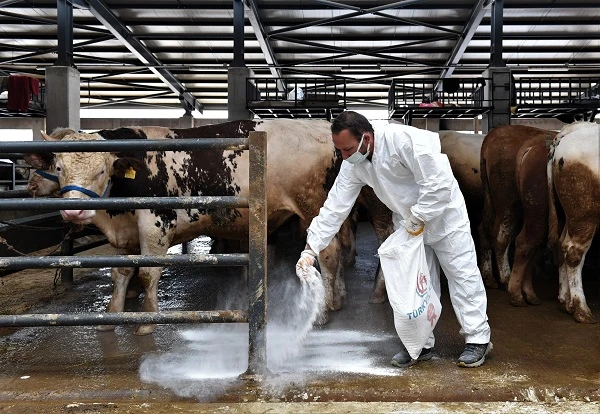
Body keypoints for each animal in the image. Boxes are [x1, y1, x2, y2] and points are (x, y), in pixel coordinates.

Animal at [29, 119, 352, 334]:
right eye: (59, 167)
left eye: (100, 170)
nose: (74, 209)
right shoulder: (127, 233)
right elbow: (120, 273)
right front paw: (112, 316)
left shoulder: (155, 225)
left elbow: (147, 273)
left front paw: (147, 322)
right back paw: (337, 297)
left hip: (312, 206)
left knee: (328, 253)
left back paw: (323, 311)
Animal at [478, 124, 556, 306]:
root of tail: (492, 136)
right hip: (508, 201)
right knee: (501, 236)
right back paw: (507, 279)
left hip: (491, 199)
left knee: (484, 228)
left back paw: (489, 277)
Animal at [548, 121, 600, 322]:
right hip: (583, 213)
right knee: (573, 252)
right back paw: (581, 308)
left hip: (571, 216)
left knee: (563, 245)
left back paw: (566, 299)